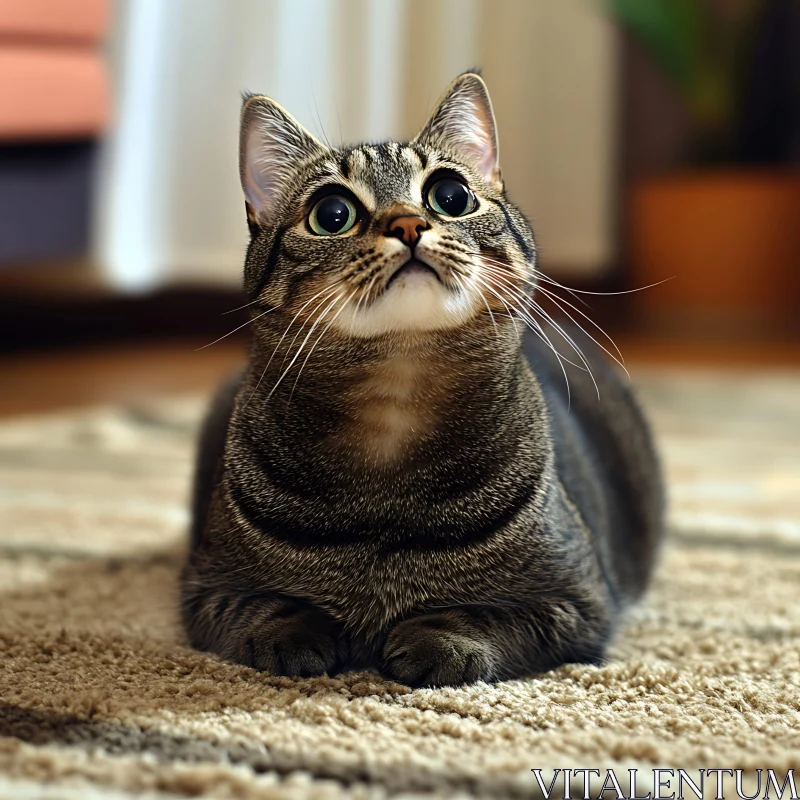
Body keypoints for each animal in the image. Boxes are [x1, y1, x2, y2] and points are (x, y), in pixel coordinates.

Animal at [181, 73, 664, 688]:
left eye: (451, 196)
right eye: (332, 214)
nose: (409, 223)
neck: (395, 398)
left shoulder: (578, 599)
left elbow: (486, 615)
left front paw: (439, 640)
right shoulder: (207, 585)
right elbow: (266, 608)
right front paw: (298, 634)